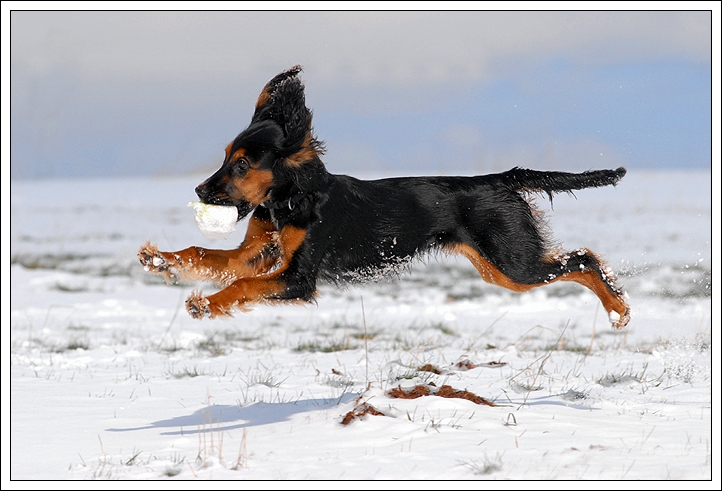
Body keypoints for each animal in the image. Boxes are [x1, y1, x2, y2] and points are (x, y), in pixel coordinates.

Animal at [138, 63, 628, 328]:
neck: (291, 199)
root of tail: (499, 178)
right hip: (497, 268)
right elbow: (207, 255)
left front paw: (204, 303)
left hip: (512, 261)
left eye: (242, 164)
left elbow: (240, 285)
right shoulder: (258, 252)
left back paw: (618, 310)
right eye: (225, 156)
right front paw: (160, 259)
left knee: (583, 259)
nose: (200, 189)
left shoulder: (297, 278)